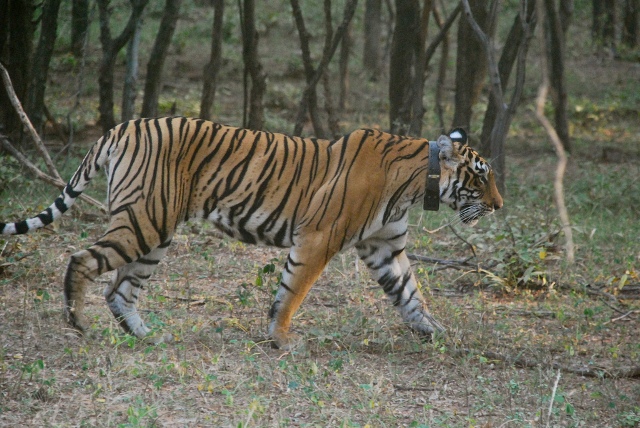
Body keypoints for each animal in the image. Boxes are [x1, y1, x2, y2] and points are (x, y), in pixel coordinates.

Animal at [0, 118, 502, 352]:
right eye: (481, 177)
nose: (499, 205)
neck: (418, 183)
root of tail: (124, 125)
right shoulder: (318, 237)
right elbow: (293, 292)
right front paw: (281, 339)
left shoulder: (386, 248)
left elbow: (411, 295)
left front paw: (436, 332)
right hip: (143, 220)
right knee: (82, 260)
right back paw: (78, 324)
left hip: (155, 230)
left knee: (121, 290)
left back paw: (147, 336)